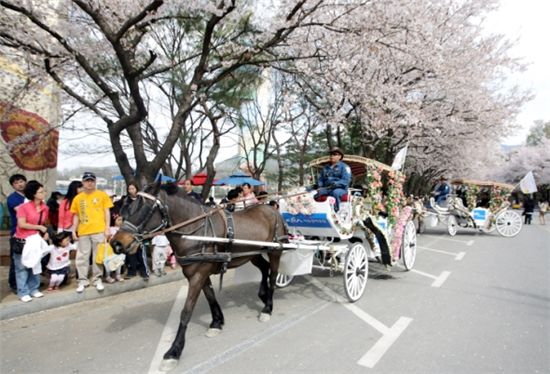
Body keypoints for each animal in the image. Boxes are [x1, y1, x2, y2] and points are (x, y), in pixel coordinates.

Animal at [110, 182, 286, 372]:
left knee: (273, 276)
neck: (196, 232)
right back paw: (263, 295)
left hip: (275, 251)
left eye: (145, 209)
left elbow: (186, 312)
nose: (116, 243)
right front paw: (216, 322)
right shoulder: (198, 274)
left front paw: (174, 350)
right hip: (254, 253)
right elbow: (210, 297)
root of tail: (272, 209)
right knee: (264, 269)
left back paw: (267, 307)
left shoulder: (198, 275)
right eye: (128, 207)